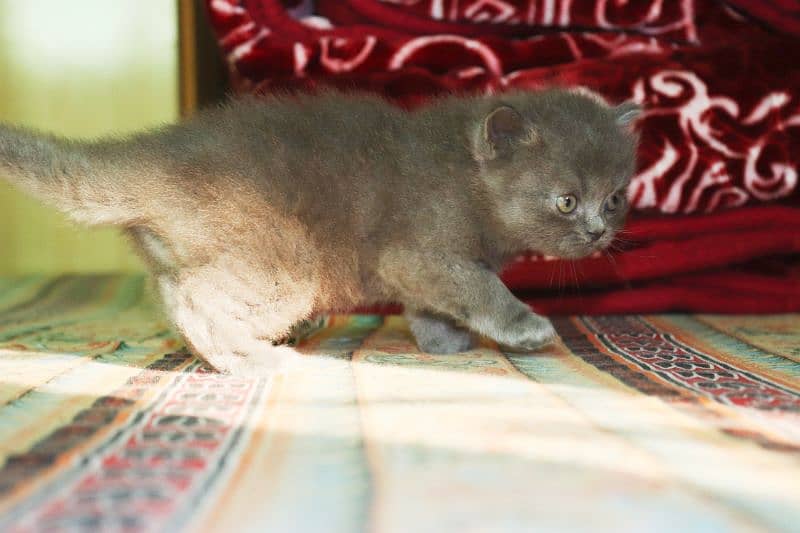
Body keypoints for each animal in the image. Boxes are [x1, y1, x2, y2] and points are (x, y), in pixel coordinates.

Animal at [0, 88, 636, 374]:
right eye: (566, 201)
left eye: (616, 198)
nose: (598, 232)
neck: (465, 176)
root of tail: (157, 156)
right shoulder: (420, 253)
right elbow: (480, 289)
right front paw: (525, 329)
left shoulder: (420, 272)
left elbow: (431, 305)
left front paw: (443, 343)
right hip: (286, 265)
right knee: (188, 296)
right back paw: (252, 357)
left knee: (165, 285)